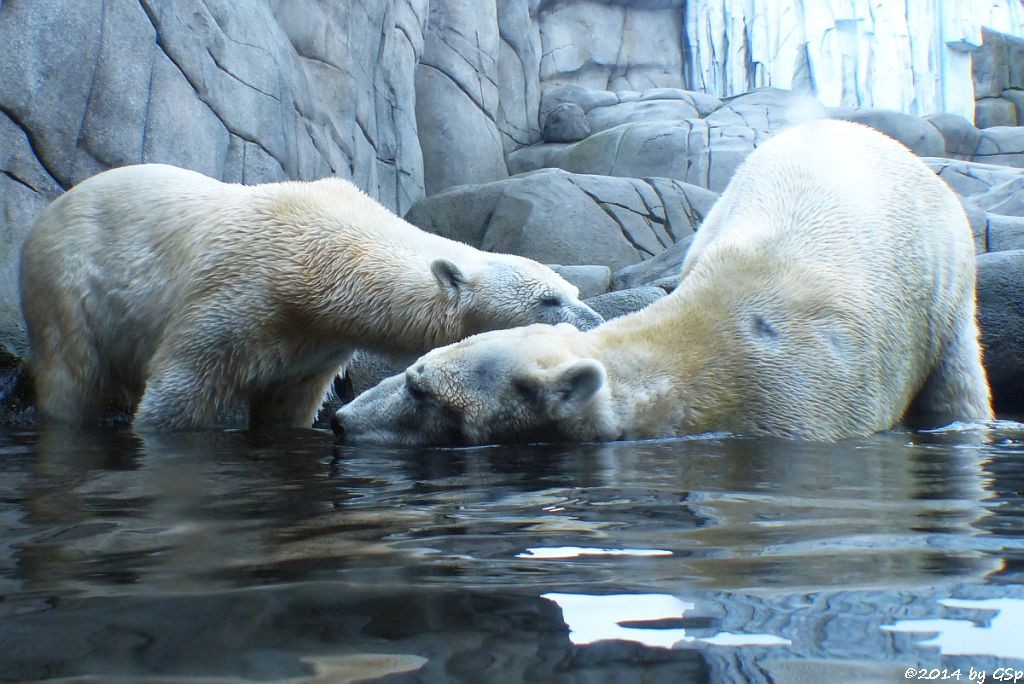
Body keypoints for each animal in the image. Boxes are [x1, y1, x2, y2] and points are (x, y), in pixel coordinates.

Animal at [19, 163, 602, 430]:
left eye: (572, 290)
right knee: (71, 372)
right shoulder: (236, 295)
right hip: (68, 285)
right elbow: (181, 387)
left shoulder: (313, 342)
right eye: (548, 300)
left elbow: (288, 404)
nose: (593, 320)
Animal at [333, 118, 991, 444]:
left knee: (958, 383)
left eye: (420, 389)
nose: (341, 422)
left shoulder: (811, 407)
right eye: (416, 369)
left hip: (947, 283)